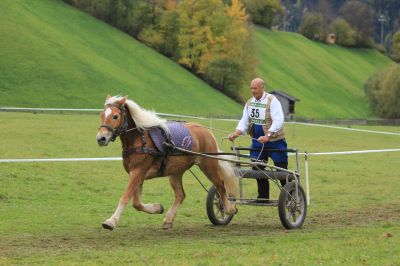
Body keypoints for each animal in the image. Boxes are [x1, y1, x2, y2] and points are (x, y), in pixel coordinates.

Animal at [96, 94, 238, 230]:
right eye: (102, 115)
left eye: (115, 116)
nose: (101, 138)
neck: (140, 139)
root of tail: (205, 130)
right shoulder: (136, 174)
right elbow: (137, 203)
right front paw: (157, 208)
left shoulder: (138, 172)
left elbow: (125, 197)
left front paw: (111, 221)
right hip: (175, 172)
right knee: (180, 195)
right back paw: (169, 219)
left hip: (208, 166)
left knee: (220, 185)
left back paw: (228, 208)